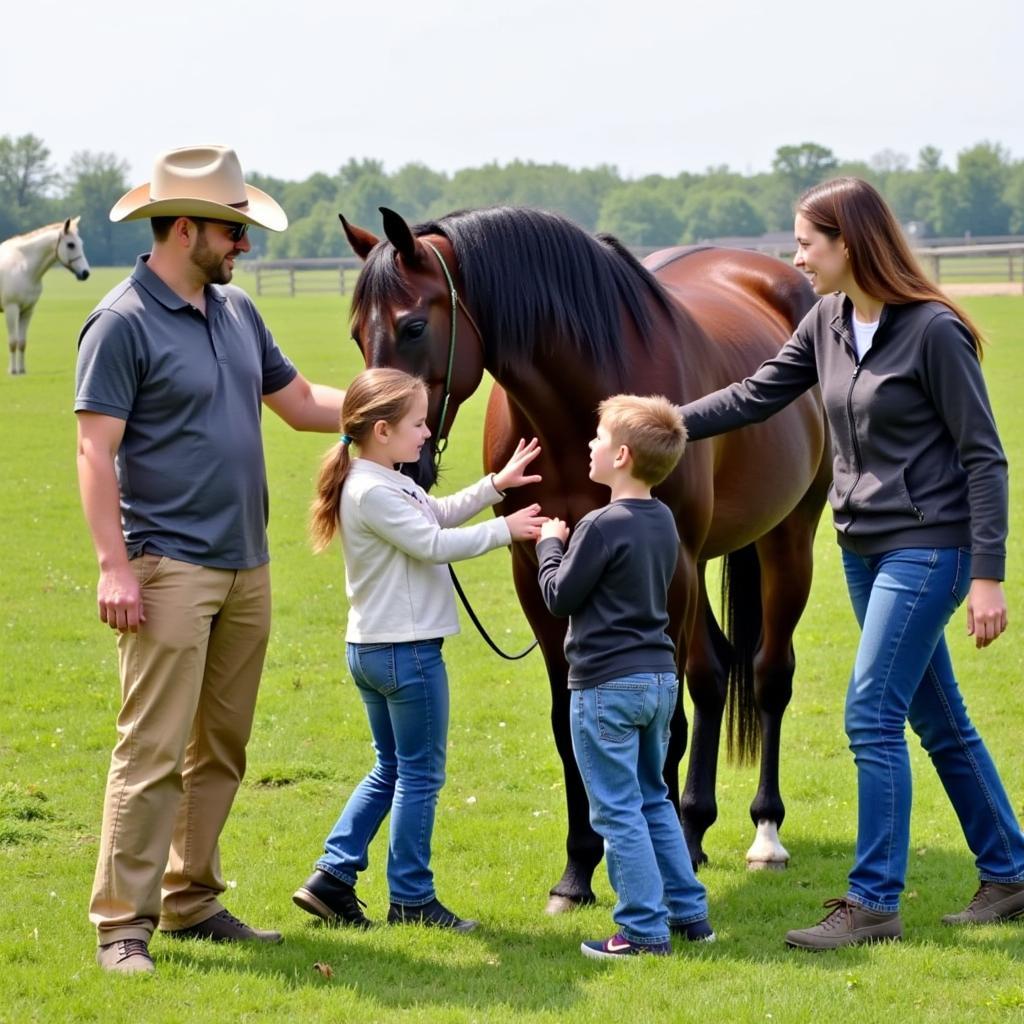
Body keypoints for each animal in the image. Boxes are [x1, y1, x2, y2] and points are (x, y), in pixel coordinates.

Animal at [1, 217, 90, 376]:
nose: (85, 273)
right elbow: (13, 341)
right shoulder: (11, 309)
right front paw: (12, 371)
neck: (23, 267)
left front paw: (22, 370)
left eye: (81, 243)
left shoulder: (27, 311)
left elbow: (22, 342)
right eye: (71, 244)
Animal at [339, 207, 827, 913]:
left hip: (786, 540)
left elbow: (665, 718)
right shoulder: (537, 571)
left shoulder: (671, 566)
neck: (577, 412)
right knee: (712, 674)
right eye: (356, 334)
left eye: (413, 326)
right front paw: (576, 873)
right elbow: (568, 722)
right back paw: (693, 828)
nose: (390, 458)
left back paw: (764, 834)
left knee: (766, 675)